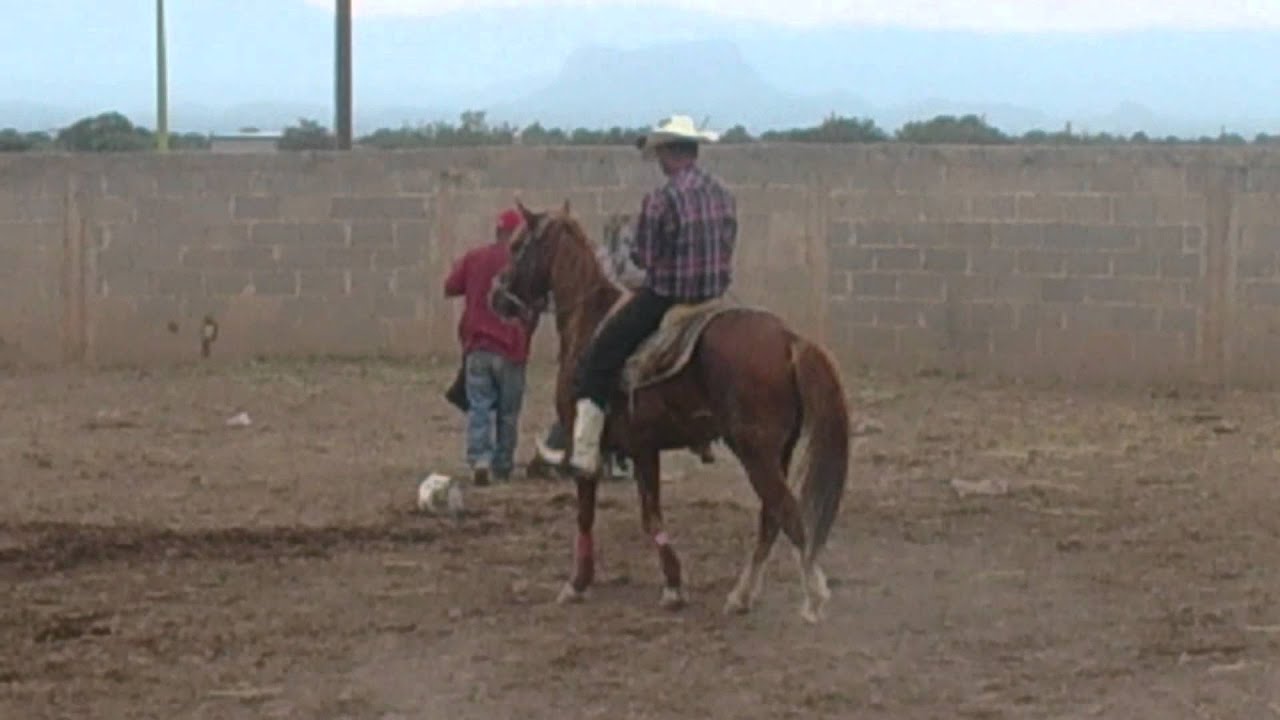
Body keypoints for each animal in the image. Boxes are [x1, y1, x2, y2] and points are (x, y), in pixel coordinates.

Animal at [488, 198, 849, 620]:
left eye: (516, 246)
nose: (497, 296)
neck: (590, 319)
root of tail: (790, 338)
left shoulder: (622, 447)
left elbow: (610, 515)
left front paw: (587, 584)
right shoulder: (642, 449)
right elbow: (634, 514)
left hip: (756, 453)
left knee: (788, 514)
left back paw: (813, 597)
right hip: (779, 452)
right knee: (771, 517)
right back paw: (742, 594)